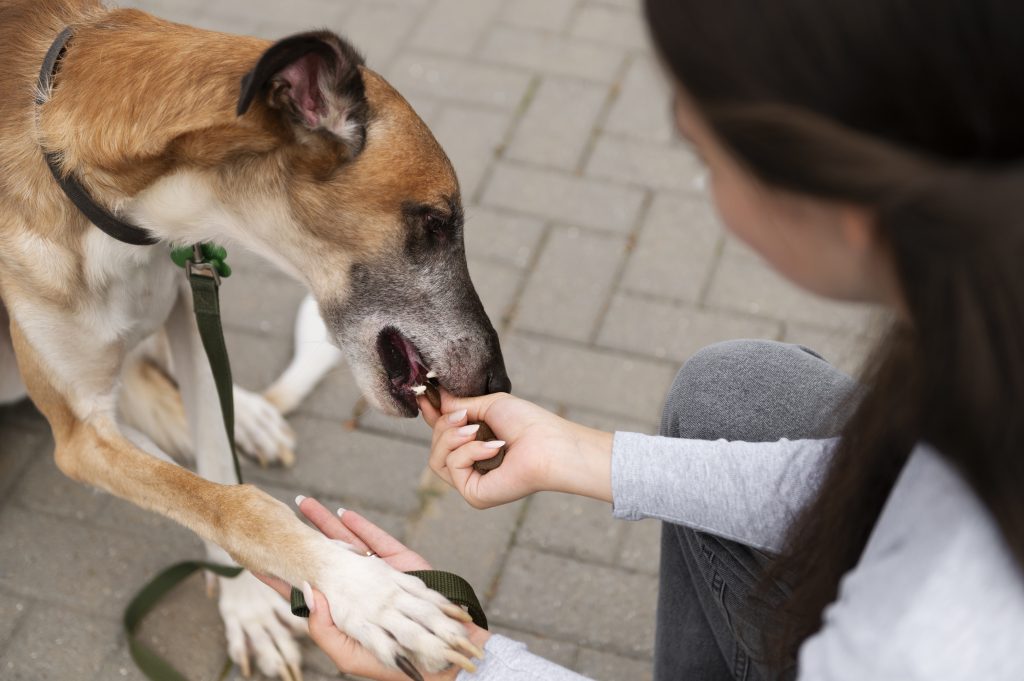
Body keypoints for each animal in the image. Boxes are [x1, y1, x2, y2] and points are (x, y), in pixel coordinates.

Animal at [0, 2, 512, 675]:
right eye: (436, 222)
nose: (499, 382)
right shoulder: (80, 434)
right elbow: (228, 501)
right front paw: (369, 595)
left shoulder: (185, 302)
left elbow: (217, 468)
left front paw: (248, 602)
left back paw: (250, 416)